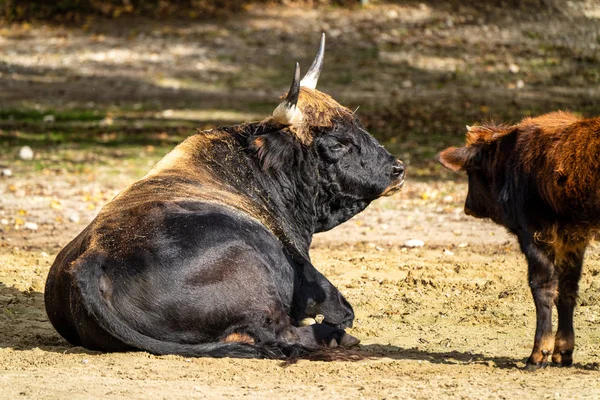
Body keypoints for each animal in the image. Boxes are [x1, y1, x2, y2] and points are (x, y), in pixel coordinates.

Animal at [44, 35, 406, 360]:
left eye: (357, 123)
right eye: (335, 144)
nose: (397, 169)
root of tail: (94, 258)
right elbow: (342, 308)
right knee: (278, 332)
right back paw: (335, 337)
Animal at [436, 111, 600, 368]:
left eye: (471, 172)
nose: (468, 206)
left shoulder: (534, 233)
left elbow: (542, 287)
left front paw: (538, 354)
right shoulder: (573, 238)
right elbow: (567, 289)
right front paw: (563, 351)